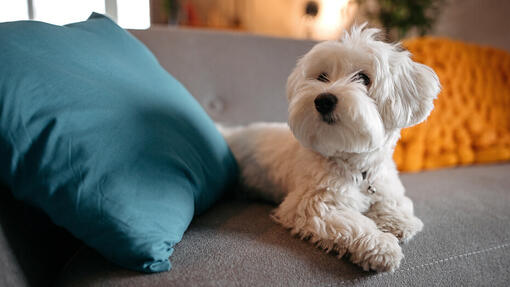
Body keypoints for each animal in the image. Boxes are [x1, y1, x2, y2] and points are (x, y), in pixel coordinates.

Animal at [221, 24, 440, 272]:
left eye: (363, 78)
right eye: (322, 77)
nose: (323, 100)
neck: (356, 168)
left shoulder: (384, 183)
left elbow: (393, 202)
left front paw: (398, 220)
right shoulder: (312, 206)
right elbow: (355, 224)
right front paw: (381, 246)